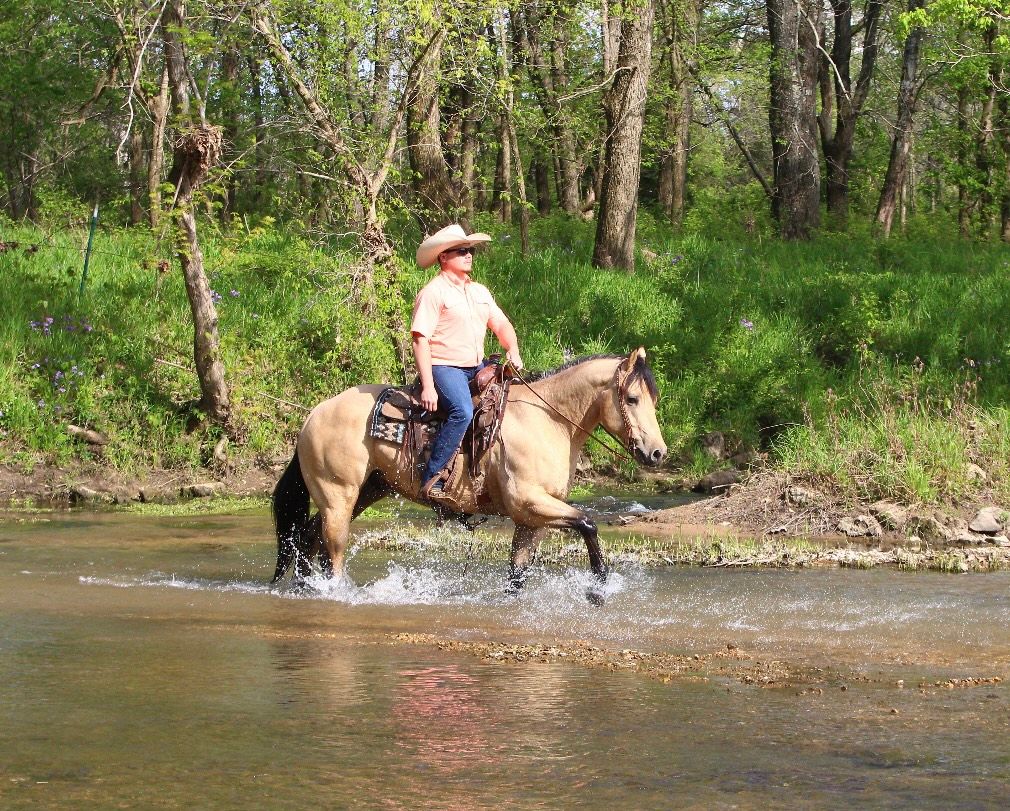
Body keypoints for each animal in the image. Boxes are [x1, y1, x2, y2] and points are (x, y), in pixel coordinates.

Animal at [271, 348, 667, 598]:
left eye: (654, 399)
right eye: (632, 399)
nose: (657, 453)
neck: (547, 421)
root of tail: (314, 414)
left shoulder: (532, 520)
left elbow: (517, 574)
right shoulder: (529, 503)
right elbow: (588, 523)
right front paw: (599, 588)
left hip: (367, 491)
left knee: (306, 536)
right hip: (339, 496)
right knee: (331, 548)